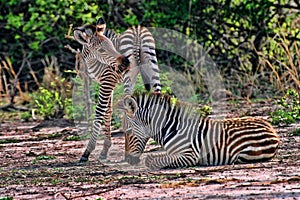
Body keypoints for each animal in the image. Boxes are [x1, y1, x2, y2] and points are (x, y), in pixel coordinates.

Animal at [73, 18, 161, 162]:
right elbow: (108, 111)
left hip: (129, 76)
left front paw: (87, 152)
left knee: (129, 109)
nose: (125, 62)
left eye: (112, 46)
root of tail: (137, 31)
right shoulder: (108, 83)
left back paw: (128, 153)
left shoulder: (107, 80)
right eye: (101, 49)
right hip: (152, 64)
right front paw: (104, 150)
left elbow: (100, 112)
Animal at [119, 93, 278, 170]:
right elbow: (155, 157)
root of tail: (271, 129)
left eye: (128, 131)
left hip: (245, 154)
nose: (127, 160)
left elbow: (153, 160)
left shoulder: (190, 155)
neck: (171, 128)